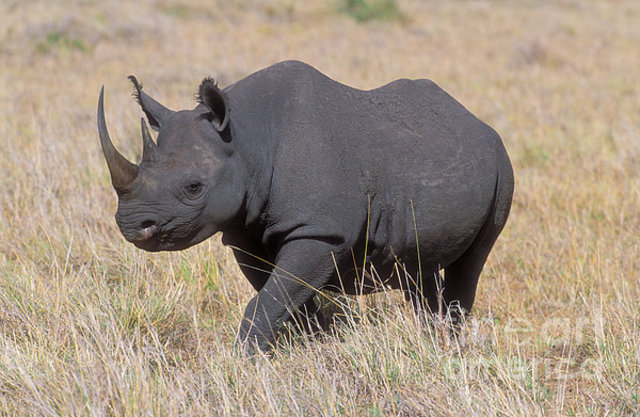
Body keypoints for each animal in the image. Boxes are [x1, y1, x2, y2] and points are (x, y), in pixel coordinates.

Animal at [98, 60, 513, 354]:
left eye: (194, 187)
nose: (132, 225)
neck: (247, 138)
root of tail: (476, 121)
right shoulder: (244, 232)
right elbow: (285, 301)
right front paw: (311, 347)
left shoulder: (320, 231)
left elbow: (268, 302)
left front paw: (243, 364)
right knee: (418, 265)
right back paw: (430, 338)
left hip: (502, 167)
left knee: (472, 262)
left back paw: (449, 344)